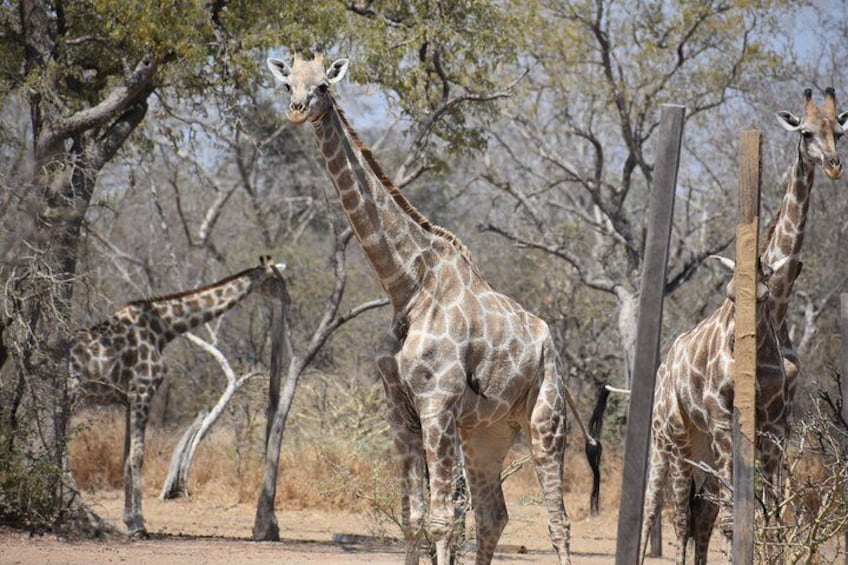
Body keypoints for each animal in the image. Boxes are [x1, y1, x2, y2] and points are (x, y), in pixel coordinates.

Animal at [67, 258, 284, 536]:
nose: (288, 300)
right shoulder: (143, 391)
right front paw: (138, 525)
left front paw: (130, 520)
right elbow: (138, 455)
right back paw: (90, 518)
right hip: (73, 394)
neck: (164, 328)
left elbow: (126, 456)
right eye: (276, 279)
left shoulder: (128, 399)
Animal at [266, 48, 596, 564]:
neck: (407, 287)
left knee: (557, 521)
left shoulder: (437, 403)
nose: (298, 110)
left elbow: (442, 519)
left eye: (323, 85)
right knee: (493, 515)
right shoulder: (398, 411)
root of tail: (547, 338)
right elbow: (413, 518)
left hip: (546, 418)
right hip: (486, 433)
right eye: (287, 85)